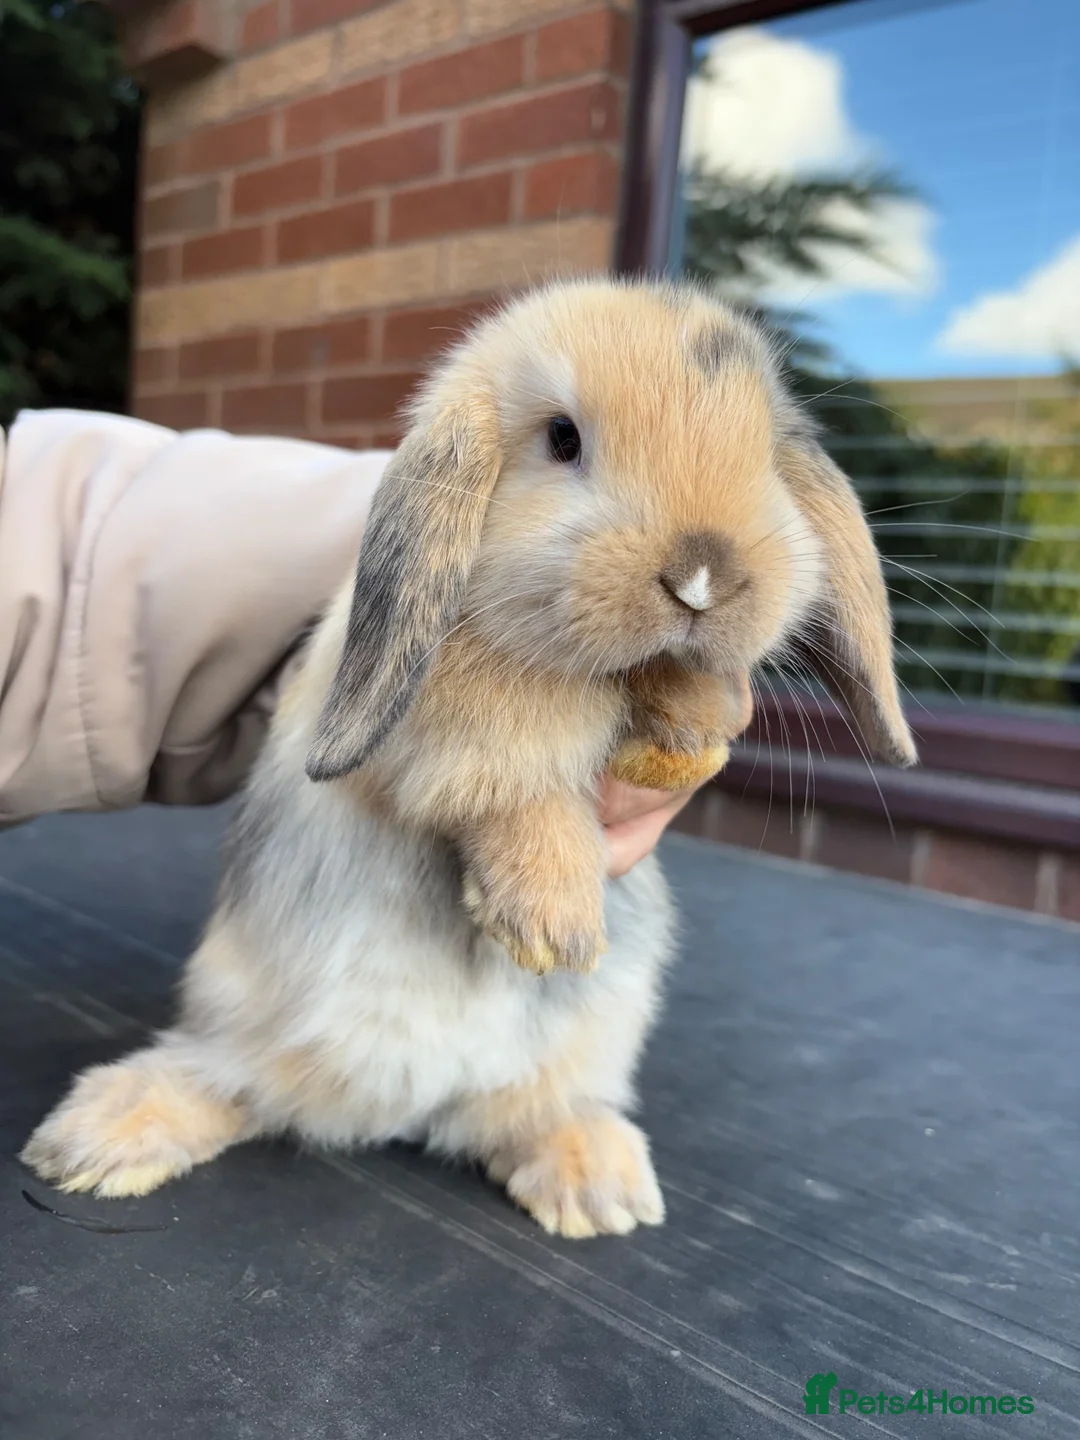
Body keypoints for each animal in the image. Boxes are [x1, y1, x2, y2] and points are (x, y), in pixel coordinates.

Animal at [21, 278, 915, 1239]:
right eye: (561, 438)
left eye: (763, 454)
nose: (703, 577)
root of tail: (404, 1106)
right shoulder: (438, 716)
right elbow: (511, 771)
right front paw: (550, 924)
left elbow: (670, 690)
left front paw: (687, 733)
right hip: (236, 1014)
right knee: (226, 1085)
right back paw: (96, 1142)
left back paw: (592, 1184)